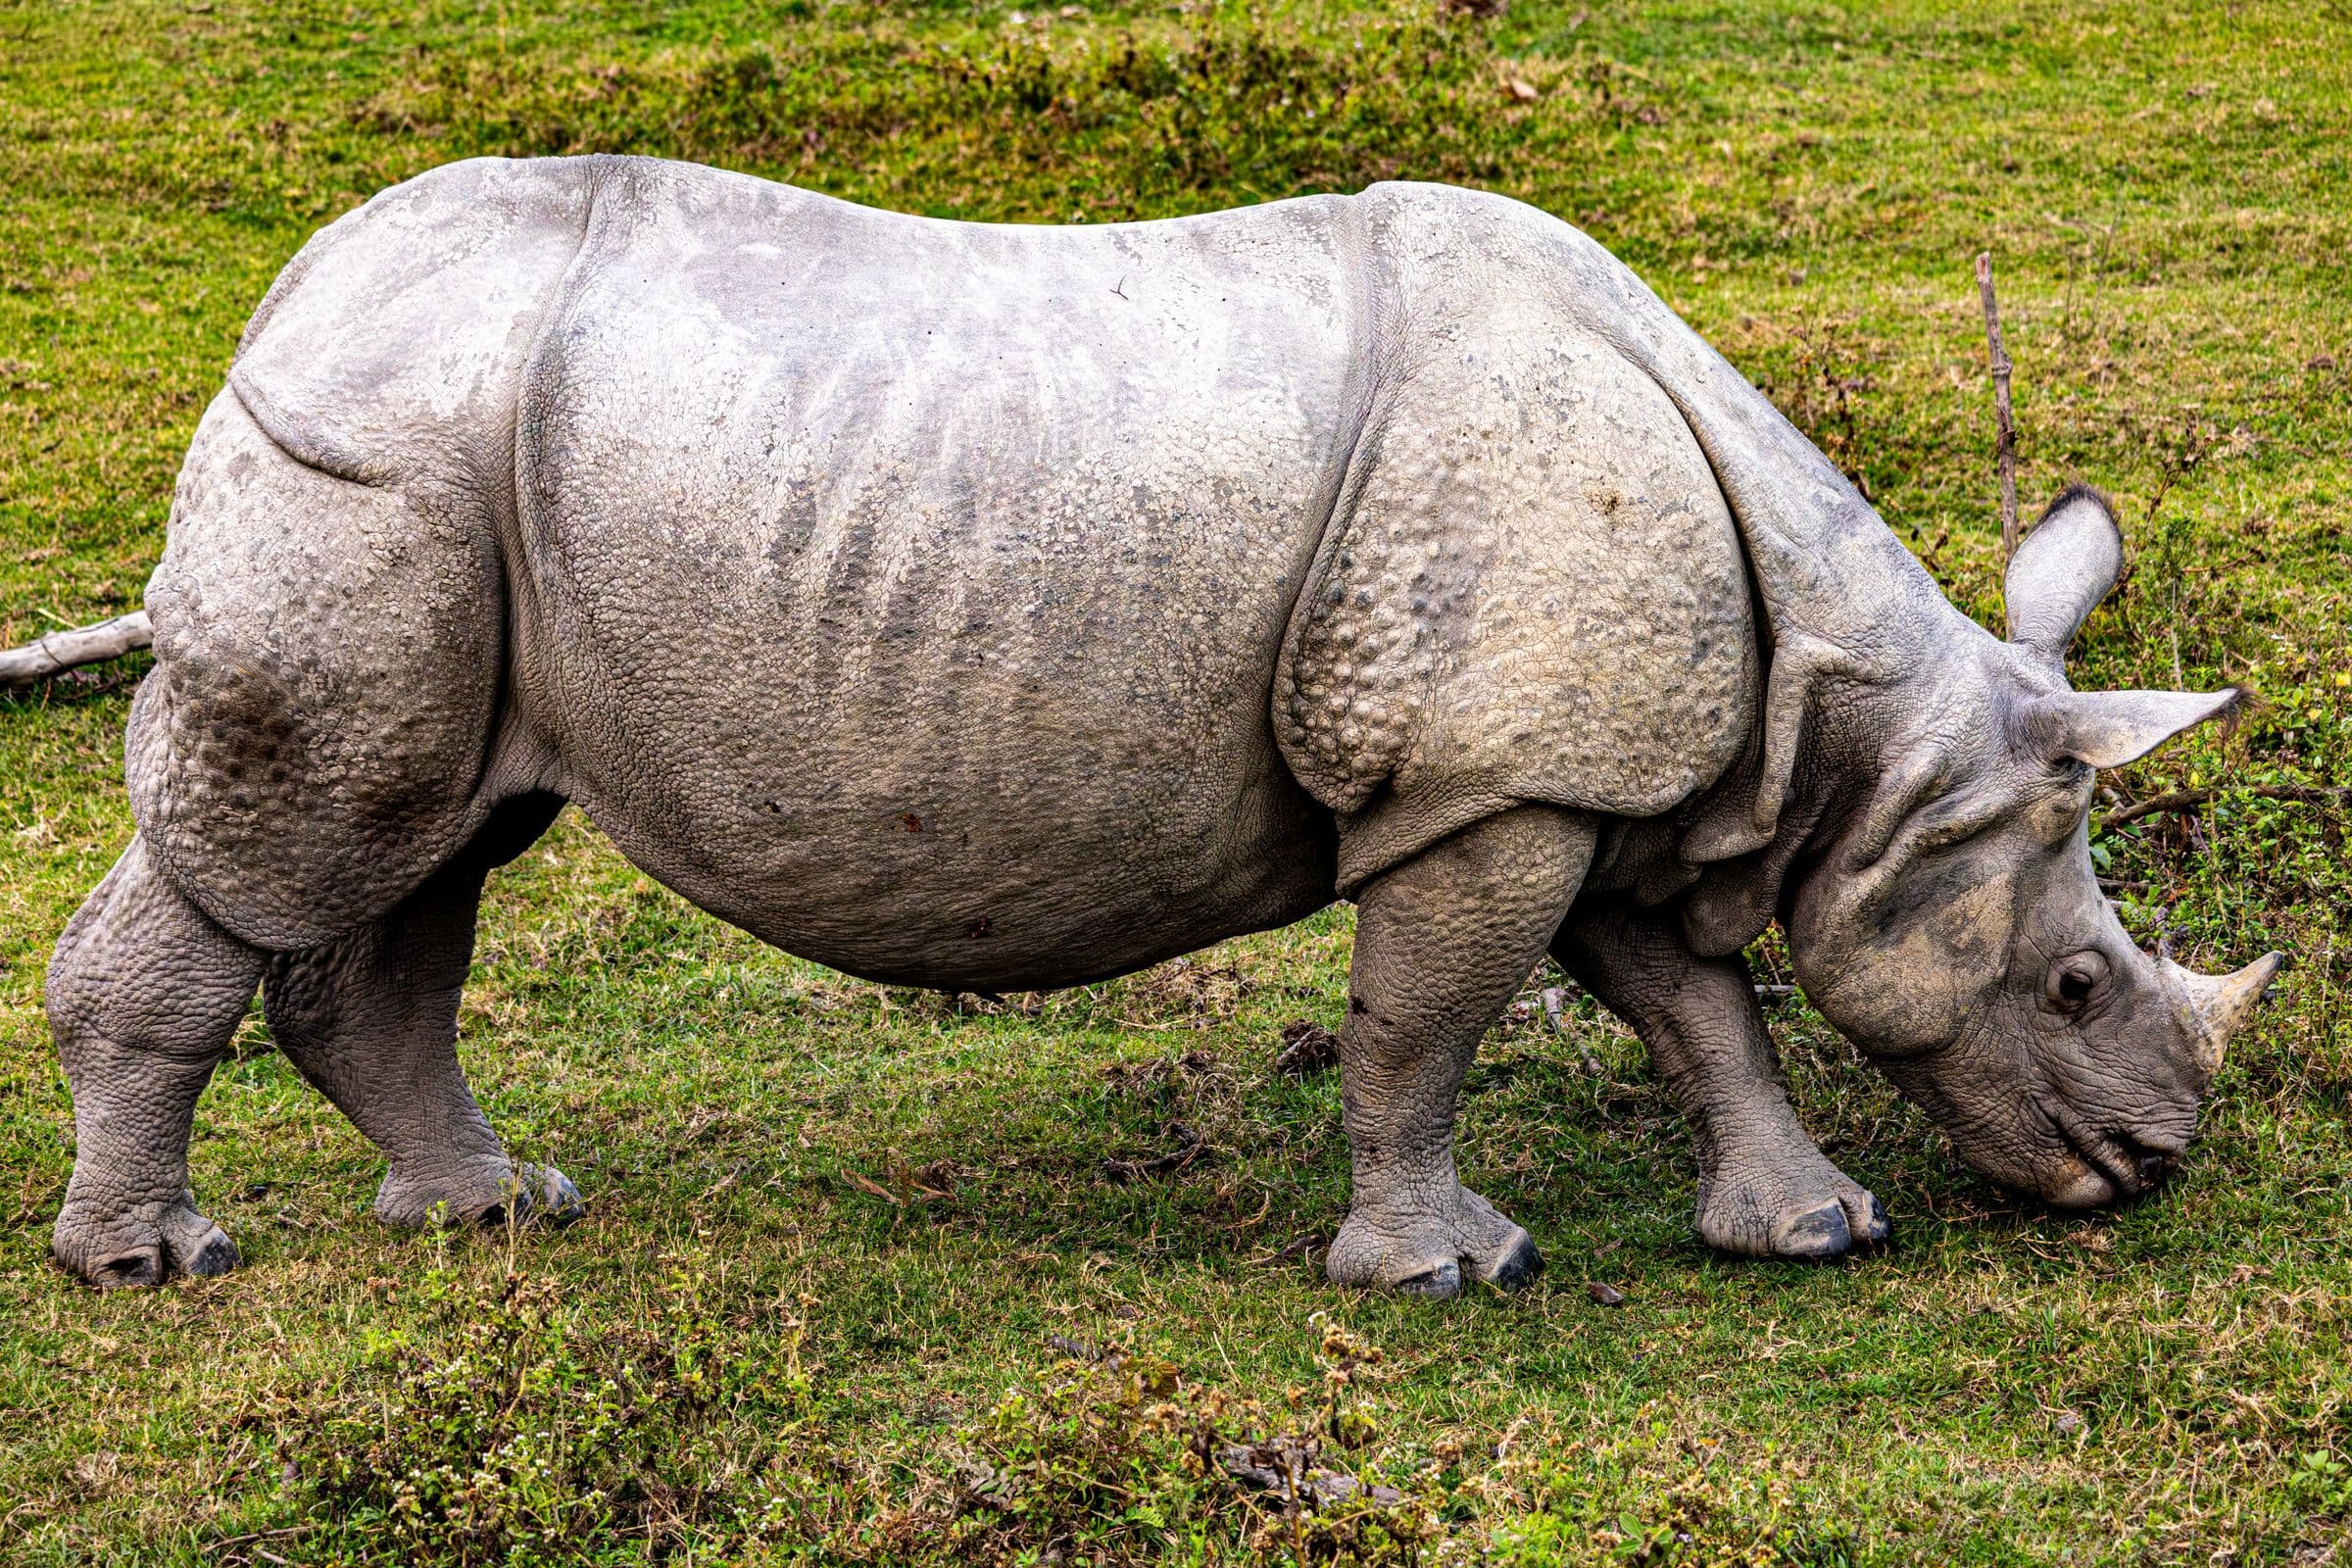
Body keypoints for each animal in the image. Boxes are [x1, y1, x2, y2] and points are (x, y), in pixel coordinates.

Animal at [48, 156, 2281, 1293]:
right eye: (2079, 982)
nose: (2154, 1164)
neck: (1853, 717)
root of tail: (289, 289)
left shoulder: (1578, 759)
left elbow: (1690, 999)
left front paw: (1811, 1228)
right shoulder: (1488, 777)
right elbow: (1429, 1021)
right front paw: (1447, 1272)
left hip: (462, 486)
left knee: (425, 846)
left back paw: (497, 1210)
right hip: (381, 455)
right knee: (298, 841)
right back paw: (159, 1261)